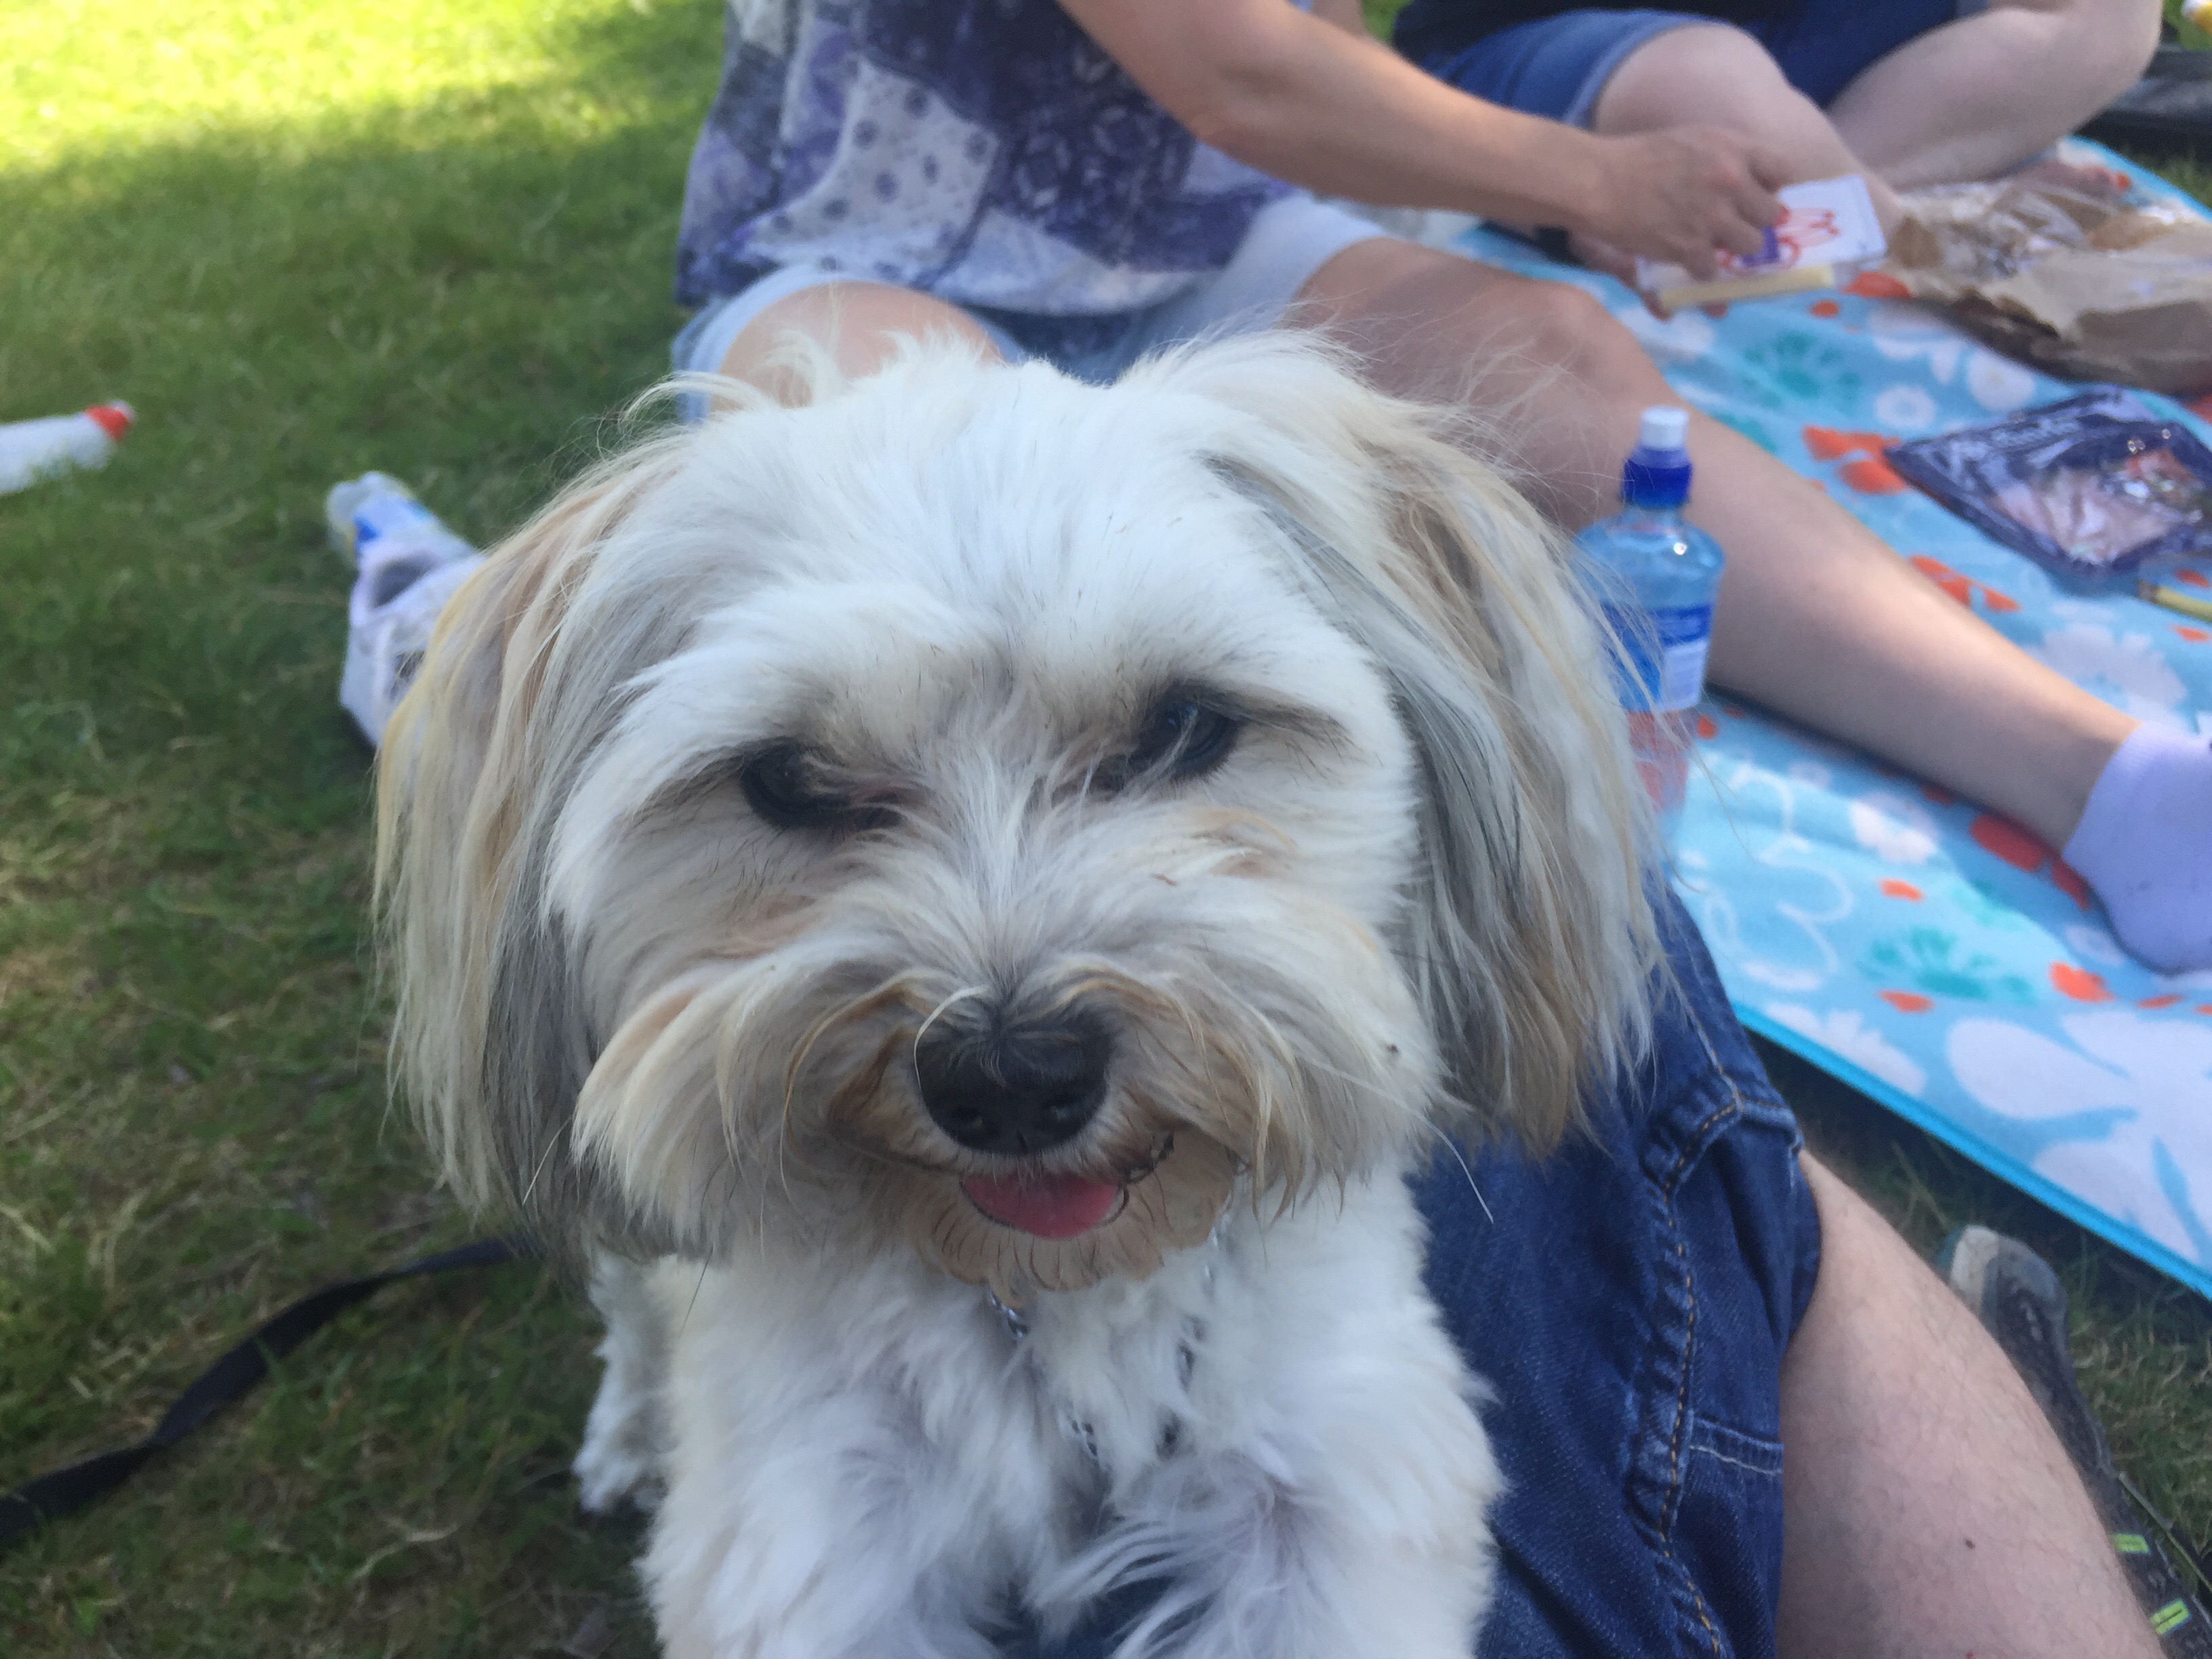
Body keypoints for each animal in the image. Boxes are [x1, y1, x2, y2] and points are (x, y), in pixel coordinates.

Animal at [375, 334, 1658, 1658]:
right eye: (788, 780)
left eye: (1182, 724)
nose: (1011, 1079)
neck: (1056, 1305)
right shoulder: (813, 1533)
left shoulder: (1326, 1481)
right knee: (629, 1308)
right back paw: (631, 1434)